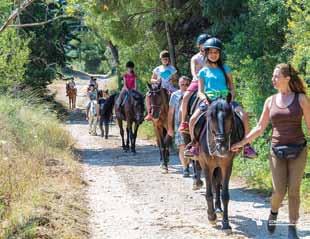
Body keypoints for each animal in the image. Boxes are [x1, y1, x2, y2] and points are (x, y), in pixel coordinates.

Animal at [196, 95, 245, 232]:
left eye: (229, 116)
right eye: (210, 117)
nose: (222, 147)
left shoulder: (227, 165)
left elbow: (225, 195)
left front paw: (226, 224)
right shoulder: (206, 165)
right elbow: (208, 193)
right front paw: (211, 217)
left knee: (217, 184)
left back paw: (218, 208)